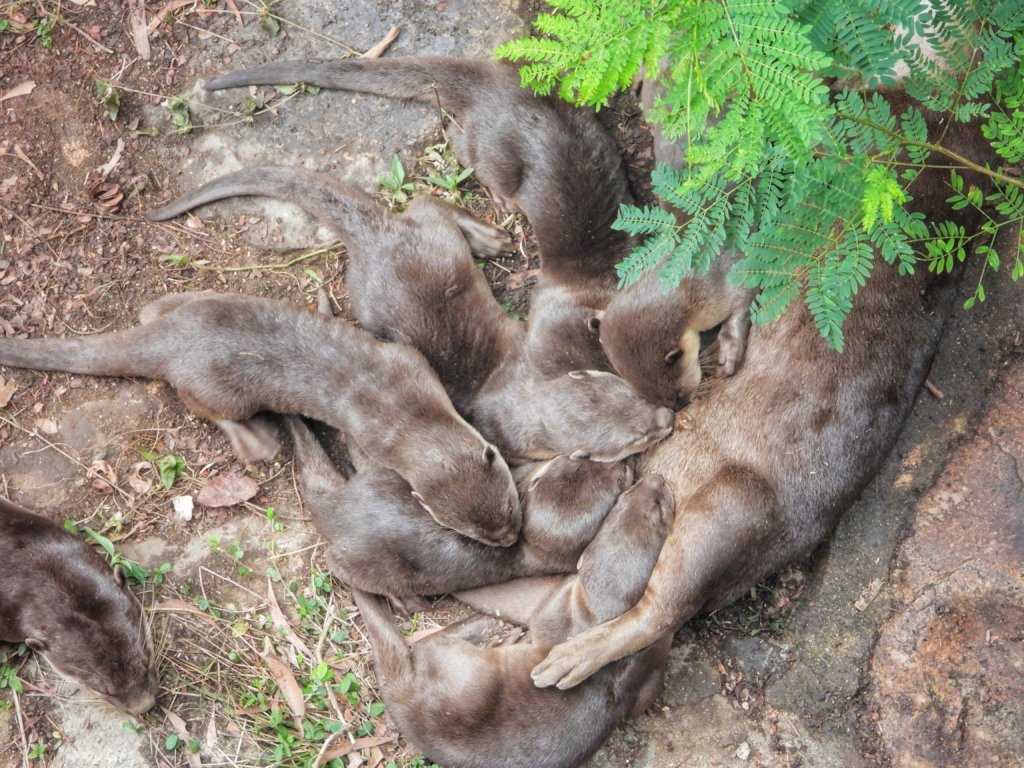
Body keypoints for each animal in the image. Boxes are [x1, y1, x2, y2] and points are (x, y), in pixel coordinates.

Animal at [0, 292, 519, 547]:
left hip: (205, 305)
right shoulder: (372, 434)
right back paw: (255, 441)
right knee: (207, 407)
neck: (403, 409)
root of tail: (169, 340)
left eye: (511, 509)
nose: (511, 540)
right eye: (475, 534)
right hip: (218, 390)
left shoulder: (409, 363)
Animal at [147, 167, 674, 462]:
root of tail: (373, 235)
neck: (515, 398)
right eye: (638, 435)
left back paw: (487, 237)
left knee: (425, 205)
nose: (666, 415)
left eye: (627, 393)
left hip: (431, 252)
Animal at [285, 415, 633, 604]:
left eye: (583, 457)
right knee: (335, 563)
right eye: (617, 486)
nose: (624, 464)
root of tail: (342, 508)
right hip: (367, 561)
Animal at [349, 473, 675, 768]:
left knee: (429, 643)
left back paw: (492, 632)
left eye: (659, 511)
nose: (657, 479)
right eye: (625, 498)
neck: (599, 614)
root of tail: (407, 704)